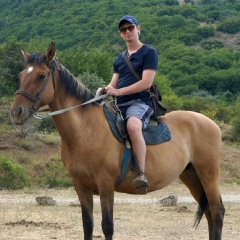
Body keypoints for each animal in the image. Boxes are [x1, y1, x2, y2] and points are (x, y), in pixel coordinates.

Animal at [10, 43, 225, 240]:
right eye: (21, 76)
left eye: (41, 76)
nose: (16, 112)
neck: (85, 131)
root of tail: (211, 123)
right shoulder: (81, 186)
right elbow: (87, 225)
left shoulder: (105, 184)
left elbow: (107, 226)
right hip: (191, 176)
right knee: (209, 214)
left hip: (208, 174)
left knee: (217, 212)